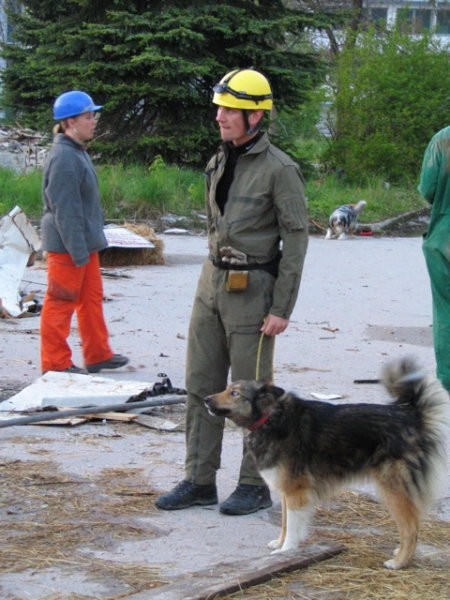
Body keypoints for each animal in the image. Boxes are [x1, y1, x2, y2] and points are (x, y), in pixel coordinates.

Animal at [206, 358, 448, 568]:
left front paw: (287, 551)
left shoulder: (296, 492)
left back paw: (399, 563)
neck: (271, 418)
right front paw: (280, 545)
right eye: (227, 389)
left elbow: (292, 526)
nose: (206, 399)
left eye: (235, 393)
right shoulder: (286, 491)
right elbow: (285, 523)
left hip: (393, 490)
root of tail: (412, 418)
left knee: (411, 529)